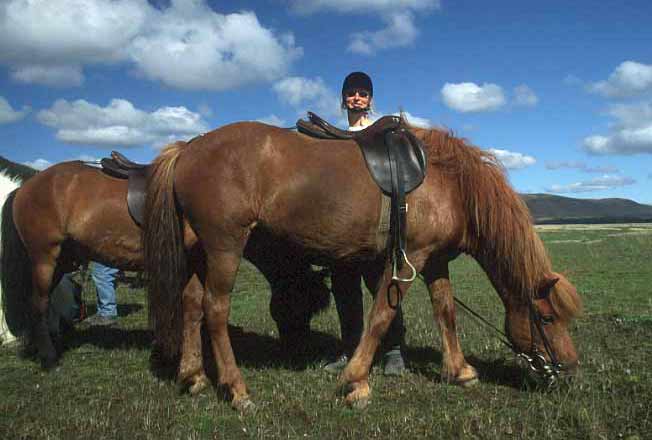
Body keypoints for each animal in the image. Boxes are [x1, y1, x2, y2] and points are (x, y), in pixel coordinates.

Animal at [0, 156, 326, 384]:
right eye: (302, 305)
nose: (303, 353)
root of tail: (25, 187)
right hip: (44, 257)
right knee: (38, 303)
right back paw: (49, 358)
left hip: (61, 260)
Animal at [145, 119, 584, 410]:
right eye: (547, 319)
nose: (569, 370)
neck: (449, 183)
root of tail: (188, 147)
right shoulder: (411, 257)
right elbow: (381, 317)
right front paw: (355, 381)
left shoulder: (435, 261)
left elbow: (445, 312)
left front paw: (460, 371)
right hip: (225, 246)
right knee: (215, 310)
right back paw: (237, 390)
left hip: (201, 251)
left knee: (192, 304)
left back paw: (194, 376)